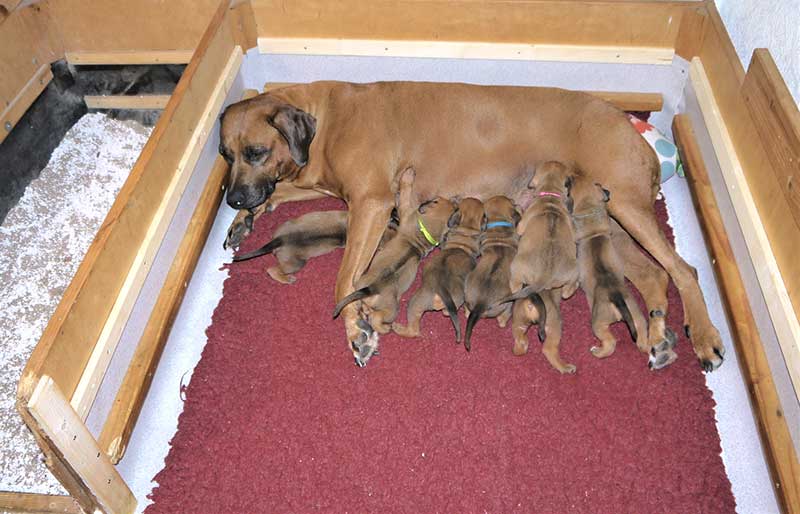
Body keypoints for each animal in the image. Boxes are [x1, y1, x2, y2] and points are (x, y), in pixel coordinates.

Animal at [332, 170, 456, 362]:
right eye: (438, 200)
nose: (454, 200)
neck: (424, 231)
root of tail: (372, 288)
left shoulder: (406, 212)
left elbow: (404, 196)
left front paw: (408, 175)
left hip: (391, 309)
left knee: (376, 318)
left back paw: (384, 327)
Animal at [568, 178, 648, 358]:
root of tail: (616, 298)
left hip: (599, 323)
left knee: (610, 342)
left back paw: (597, 351)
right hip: (637, 316)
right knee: (641, 337)